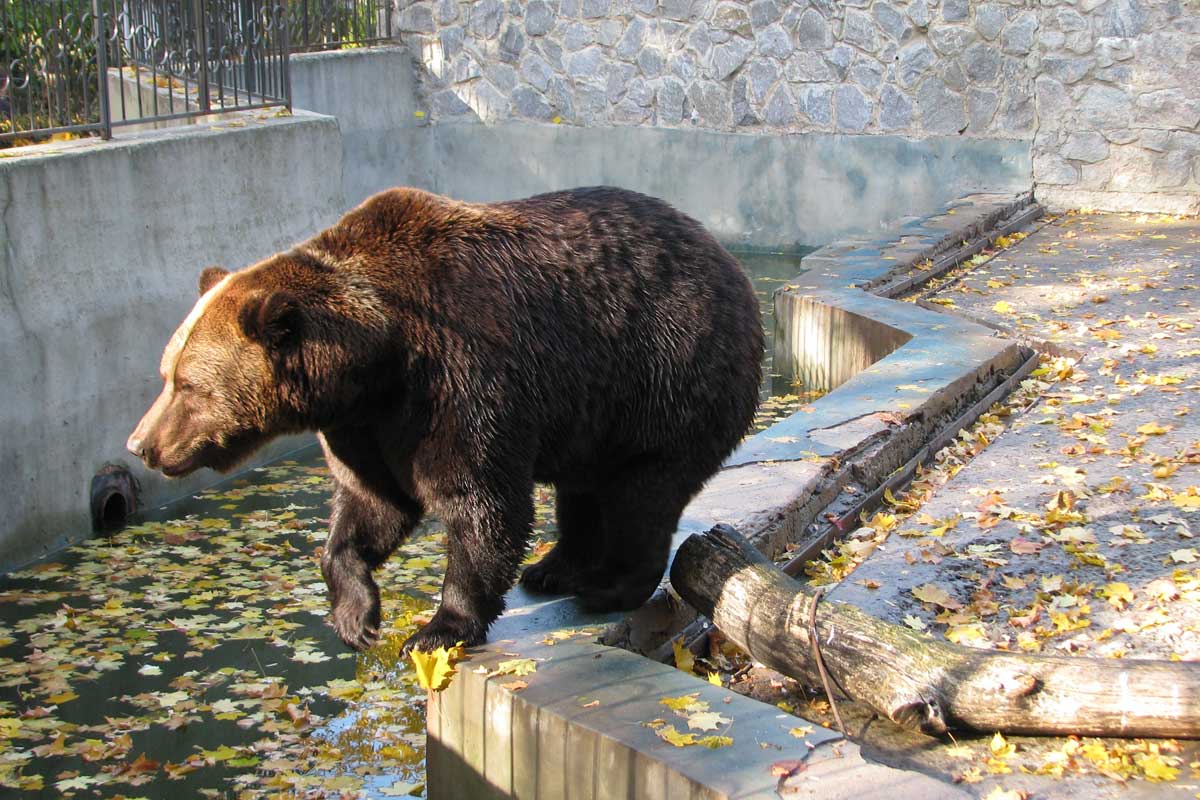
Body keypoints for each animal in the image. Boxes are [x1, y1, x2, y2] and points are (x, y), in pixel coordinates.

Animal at [126, 189, 763, 657]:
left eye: (188, 385)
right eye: (165, 372)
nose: (141, 445)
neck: (378, 361)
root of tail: (732, 264)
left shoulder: (461, 379)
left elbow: (480, 503)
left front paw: (437, 628)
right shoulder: (367, 428)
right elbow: (372, 505)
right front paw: (357, 616)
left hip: (667, 374)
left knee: (641, 495)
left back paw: (608, 583)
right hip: (593, 411)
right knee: (582, 491)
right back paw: (552, 568)